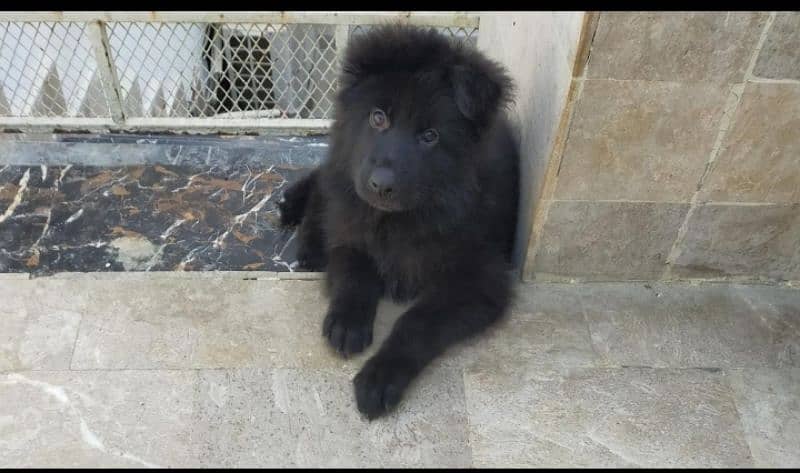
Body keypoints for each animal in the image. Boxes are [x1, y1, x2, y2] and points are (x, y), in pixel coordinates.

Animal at [280, 24, 520, 418]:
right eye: (378, 118)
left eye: (430, 136)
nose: (381, 185)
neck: (400, 220)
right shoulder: (351, 233)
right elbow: (354, 274)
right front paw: (347, 321)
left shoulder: (482, 281)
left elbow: (417, 321)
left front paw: (381, 375)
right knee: (325, 181)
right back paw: (300, 226)